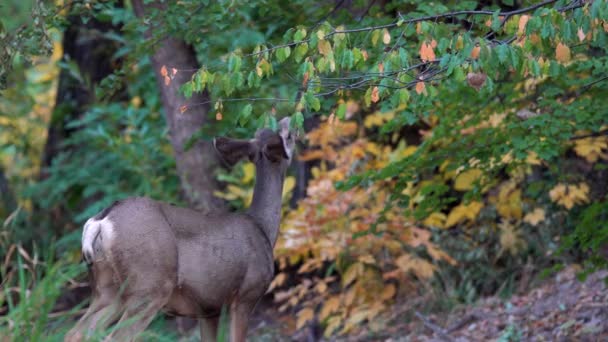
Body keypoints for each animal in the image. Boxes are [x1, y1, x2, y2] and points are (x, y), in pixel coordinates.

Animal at [64, 117, 296, 342]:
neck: (262, 227)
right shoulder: (246, 295)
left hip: (107, 289)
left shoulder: (209, 310)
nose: (290, 120)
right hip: (150, 286)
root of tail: (101, 220)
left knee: (75, 333)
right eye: (288, 136)